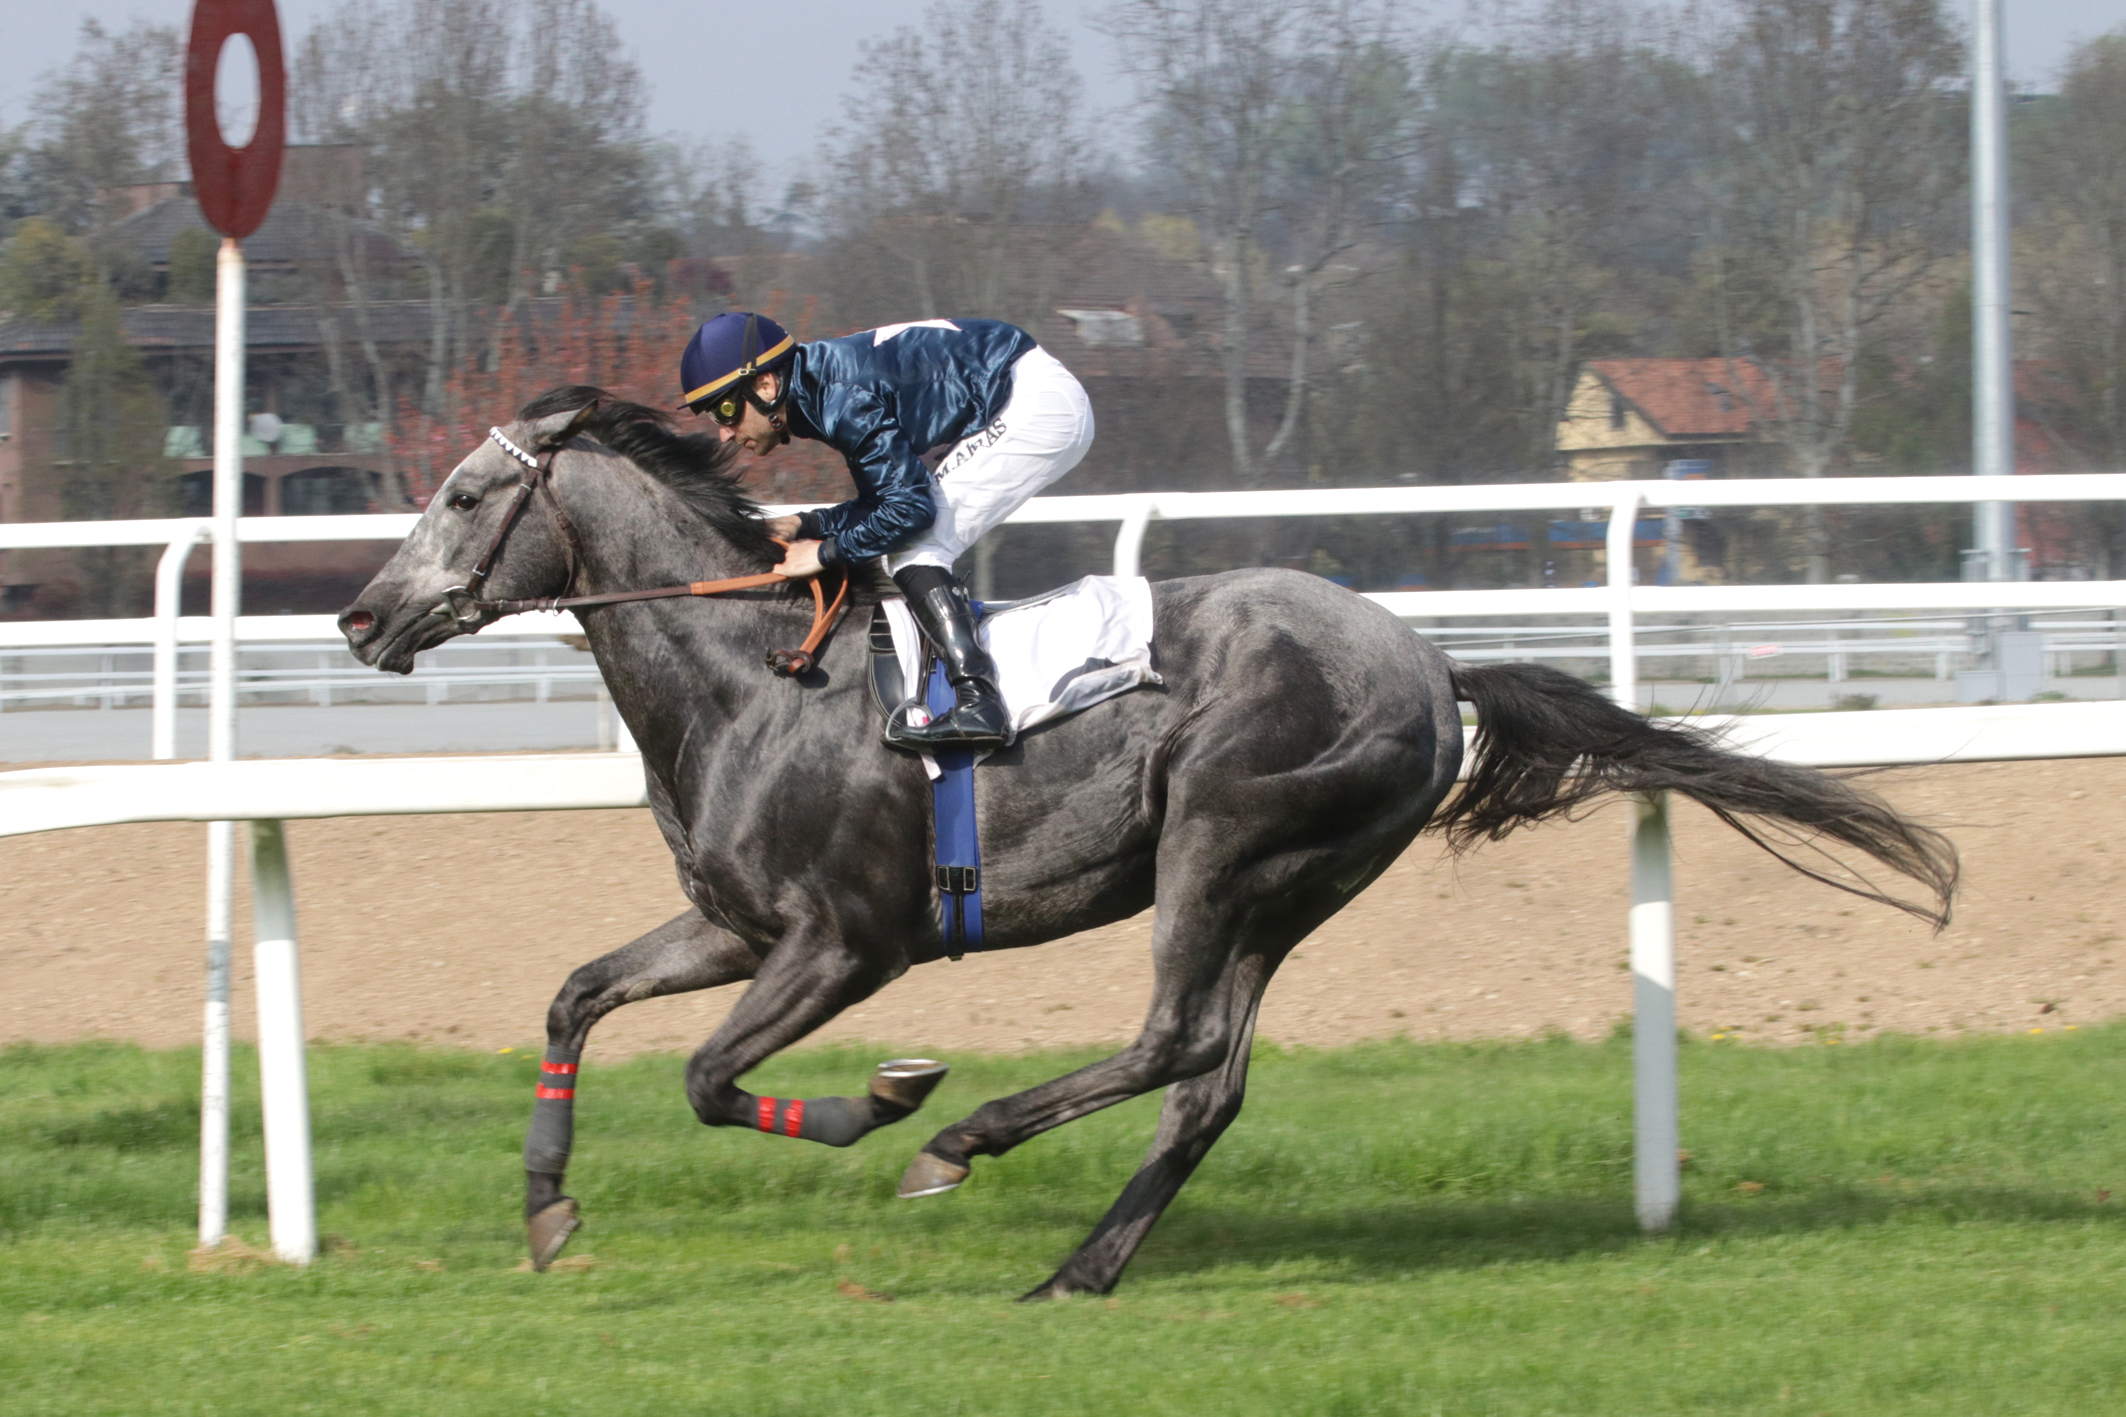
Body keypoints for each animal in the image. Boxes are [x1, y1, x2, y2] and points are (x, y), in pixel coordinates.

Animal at [340, 388, 1947, 1300]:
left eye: (466, 496)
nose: (360, 615)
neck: (754, 677)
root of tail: (1430, 661)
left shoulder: (847, 943)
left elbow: (707, 1077)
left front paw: (893, 1099)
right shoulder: (735, 927)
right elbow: (575, 996)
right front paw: (546, 1210)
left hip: (1223, 839)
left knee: (1173, 1037)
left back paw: (967, 1144)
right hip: (1286, 887)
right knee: (1206, 1078)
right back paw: (1082, 1265)